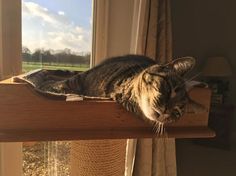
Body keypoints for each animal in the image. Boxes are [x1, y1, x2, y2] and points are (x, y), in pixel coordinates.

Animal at [23, 54, 205, 133]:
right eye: (169, 88)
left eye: (177, 112)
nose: (166, 111)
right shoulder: (81, 78)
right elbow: (61, 84)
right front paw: (46, 84)